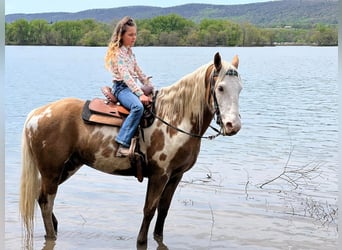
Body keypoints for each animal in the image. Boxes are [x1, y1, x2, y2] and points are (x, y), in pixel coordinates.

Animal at [20, 51, 242, 247]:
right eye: (221, 88)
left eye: (239, 88)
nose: (233, 126)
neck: (175, 119)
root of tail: (36, 114)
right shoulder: (159, 175)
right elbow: (149, 209)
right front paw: (141, 241)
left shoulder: (176, 175)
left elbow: (163, 210)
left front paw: (158, 237)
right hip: (51, 170)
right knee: (46, 201)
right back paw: (51, 234)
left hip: (67, 167)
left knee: (41, 197)